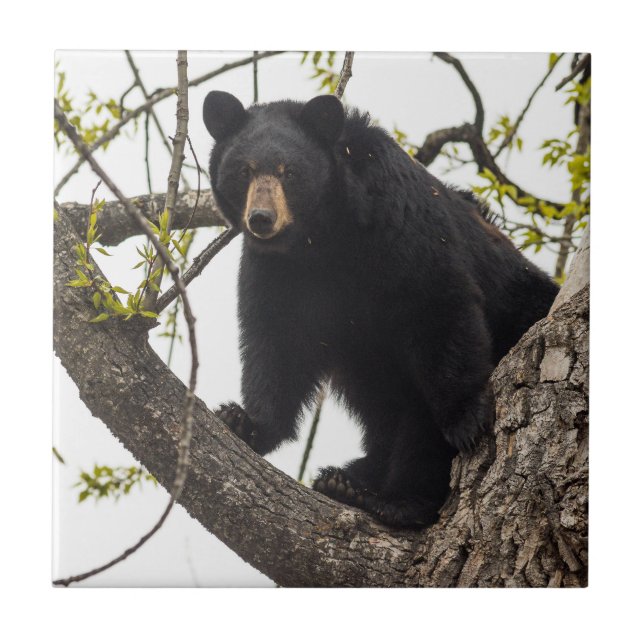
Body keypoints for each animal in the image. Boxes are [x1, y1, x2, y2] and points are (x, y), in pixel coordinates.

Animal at [203, 90, 559, 528]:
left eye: (290, 172)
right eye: (244, 171)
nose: (262, 219)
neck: (323, 239)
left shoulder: (401, 225)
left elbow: (437, 307)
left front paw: (466, 419)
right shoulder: (278, 270)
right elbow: (277, 340)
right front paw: (245, 421)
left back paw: (392, 499)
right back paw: (347, 479)